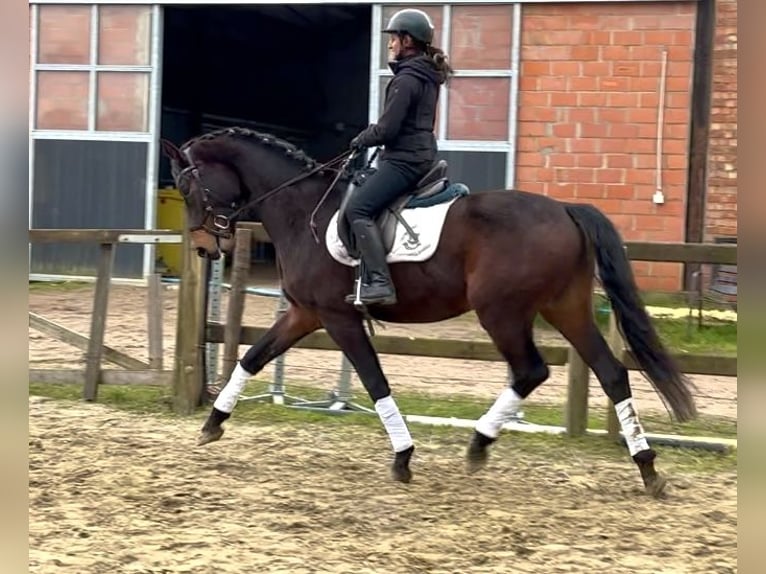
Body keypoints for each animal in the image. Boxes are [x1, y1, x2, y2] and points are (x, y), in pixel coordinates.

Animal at [164, 128, 704, 498]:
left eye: (188, 189)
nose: (204, 249)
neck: (302, 211)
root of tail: (565, 209)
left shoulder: (338, 318)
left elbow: (375, 380)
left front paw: (403, 458)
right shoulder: (304, 314)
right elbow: (253, 356)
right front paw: (212, 423)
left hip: (502, 311)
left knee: (530, 371)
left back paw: (479, 444)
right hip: (564, 307)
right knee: (611, 373)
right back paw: (647, 468)